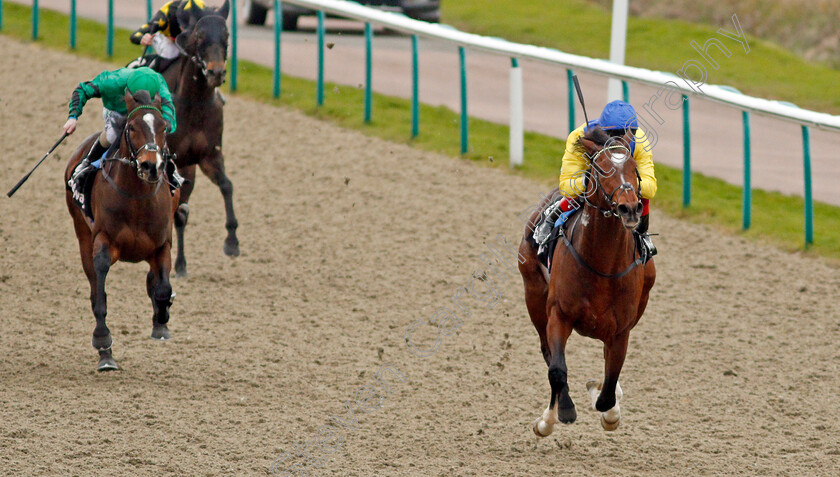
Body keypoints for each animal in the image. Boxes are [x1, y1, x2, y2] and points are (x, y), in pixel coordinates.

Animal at [64, 90, 179, 372]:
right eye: (132, 127)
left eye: (163, 127)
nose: (151, 166)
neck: (136, 197)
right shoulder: (103, 241)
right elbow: (100, 294)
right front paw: (103, 343)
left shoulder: (162, 244)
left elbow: (162, 289)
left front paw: (162, 319)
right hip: (81, 232)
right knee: (94, 288)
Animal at [162, 0, 238, 276]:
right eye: (200, 36)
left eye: (226, 36)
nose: (217, 72)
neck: (194, 103)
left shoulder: (209, 156)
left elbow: (227, 185)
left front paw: (232, 241)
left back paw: (181, 264)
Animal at [520, 126, 656, 436]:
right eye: (602, 168)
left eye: (633, 167)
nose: (630, 209)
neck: (602, 266)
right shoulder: (558, 314)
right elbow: (557, 369)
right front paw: (558, 414)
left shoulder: (621, 330)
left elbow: (609, 385)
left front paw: (608, 408)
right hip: (533, 292)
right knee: (546, 351)